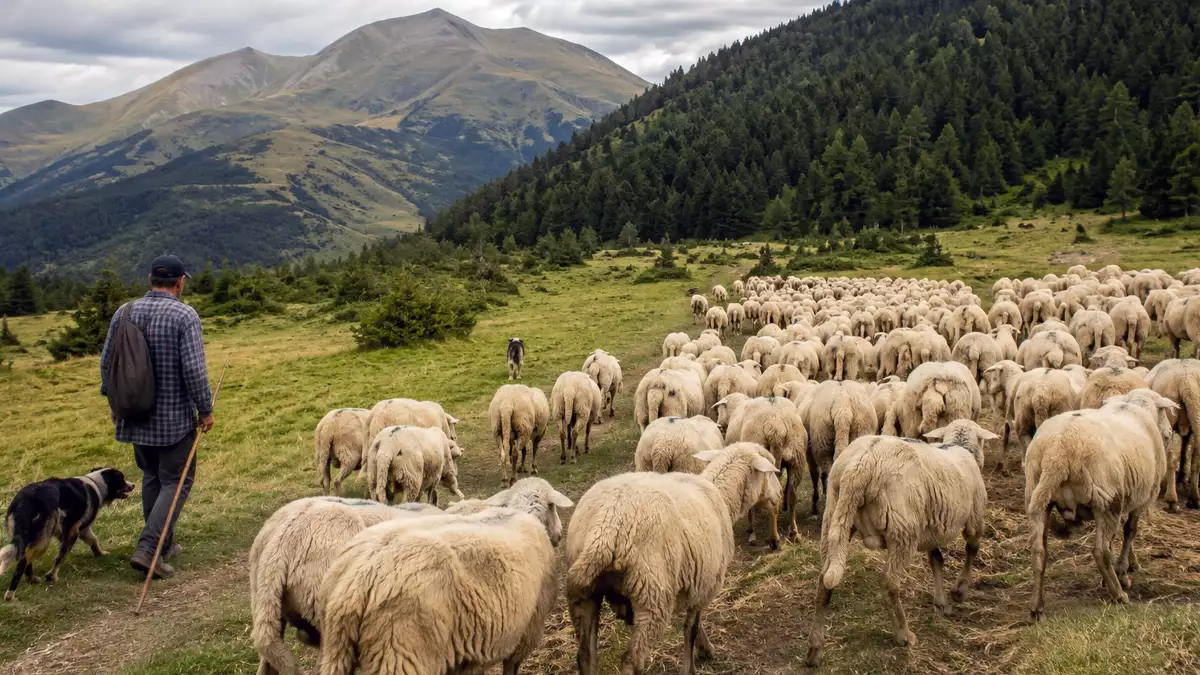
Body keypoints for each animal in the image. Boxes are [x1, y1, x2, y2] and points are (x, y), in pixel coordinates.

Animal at [319, 504, 569, 675]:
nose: (560, 533)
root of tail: (359, 579)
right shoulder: (528, 631)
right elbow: (511, 667)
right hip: (400, 651)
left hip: (335, 649)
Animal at [566, 446, 781, 675]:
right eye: (771, 472)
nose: (779, 495)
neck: (722, 496)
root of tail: (606, 527)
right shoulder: (706, 583)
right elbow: (690, 630)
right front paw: (691, 666)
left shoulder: (693, 584)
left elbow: (694, 626)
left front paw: (705, 649)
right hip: (652, 597)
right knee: (631, 661)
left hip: (584, 595)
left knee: (585, 657)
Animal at [801, 380, 879, 516]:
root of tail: (842, 408)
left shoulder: (809, 453)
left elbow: (815, 475)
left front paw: (815, 506)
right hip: (860, 429)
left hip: (823, 443)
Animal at [806, 420, 997, 666]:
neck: (959, 447)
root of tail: (859, 467)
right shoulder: (974, 519)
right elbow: (971, 550)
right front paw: (959, 590)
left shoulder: (931, 527)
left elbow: (936, 560)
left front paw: (941, 602)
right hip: (903, 530)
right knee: (889, 583)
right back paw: (904, 634)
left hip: (835, 516)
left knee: (824, 581)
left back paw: (814, 649)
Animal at [1026, 390, 1179, 619]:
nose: (1169, 433)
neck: (1131, 406)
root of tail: (1058, 451)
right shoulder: (1140, 499)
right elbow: (1129, 532)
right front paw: (1122, 571)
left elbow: (1118, 536)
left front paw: (1121, 569)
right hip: (1106, 500)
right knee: (1100, 551)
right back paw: (1118, 594)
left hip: (1038, 496)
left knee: (1039, 551)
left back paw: (1037, 606)